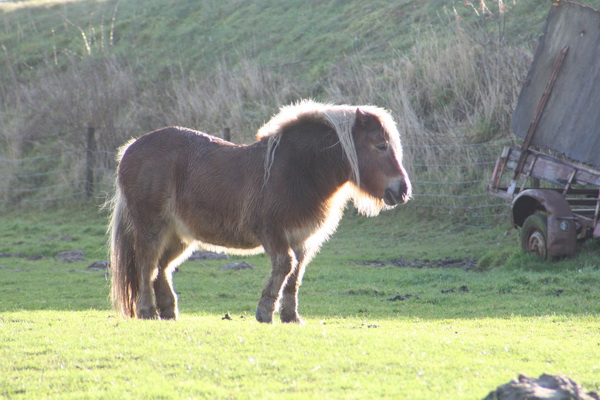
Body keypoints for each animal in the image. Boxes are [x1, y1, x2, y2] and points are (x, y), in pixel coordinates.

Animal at [108, 100, 412, 323]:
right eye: (381, 146)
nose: (402, 190)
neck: (298, 171)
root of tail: (129, 149)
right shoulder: (272, 232)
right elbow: (284, 265)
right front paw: (265, 312)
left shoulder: (301, 240)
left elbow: (296, 275)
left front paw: (291, 317)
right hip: (151, 228)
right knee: (147, 264)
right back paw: (147, 312)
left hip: (179, 236)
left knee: (162, 267)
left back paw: (169, 312)